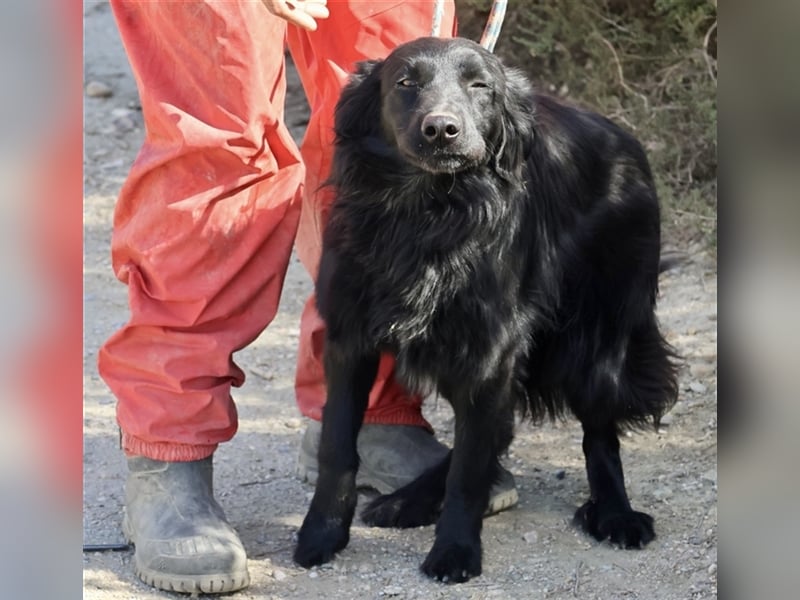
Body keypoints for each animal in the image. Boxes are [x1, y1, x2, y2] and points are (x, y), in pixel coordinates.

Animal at [292, 36, 676, 580]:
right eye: (405, 82)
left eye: (480, 86)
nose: (441, 130)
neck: (429, 213)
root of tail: (624, 138)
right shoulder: (350, 339)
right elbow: (337, 446)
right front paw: (322, 534)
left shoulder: (490, 353)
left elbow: (470, 469)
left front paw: (455, 549)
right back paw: (408, 500)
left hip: (599, 337)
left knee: (598, 433)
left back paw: (616, 513)